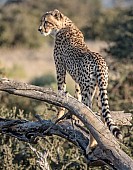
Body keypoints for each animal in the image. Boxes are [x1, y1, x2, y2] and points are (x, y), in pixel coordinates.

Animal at [38, 8, 122, 142]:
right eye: (42, 21)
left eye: (46, 22)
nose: (39, 29)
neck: (64, 26)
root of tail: (99, 60)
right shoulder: (78, 80)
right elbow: (77, 95)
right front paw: (75, 116)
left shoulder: (60, 68)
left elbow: (61, 92)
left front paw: (59, 116)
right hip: (100, 89)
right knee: (102, 118)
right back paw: (94, 143)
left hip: (88, 90)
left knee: (91, 114)